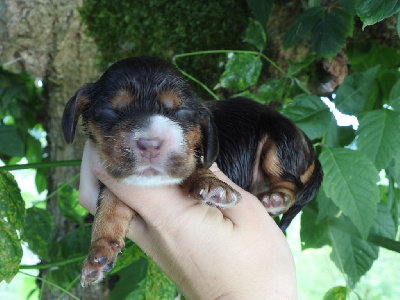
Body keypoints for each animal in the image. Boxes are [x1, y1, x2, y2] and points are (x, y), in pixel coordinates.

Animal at [63, 55, 322, 286]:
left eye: (180, 112)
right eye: (111, 111)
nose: (150, 143)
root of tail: (311, 152)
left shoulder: (197, 152)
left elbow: (195, 165)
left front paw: (213, 185)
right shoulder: (117, 181)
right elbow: (109, 209)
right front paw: (99, 254)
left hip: (279, 142)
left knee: (290, 183)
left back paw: (276, 199)